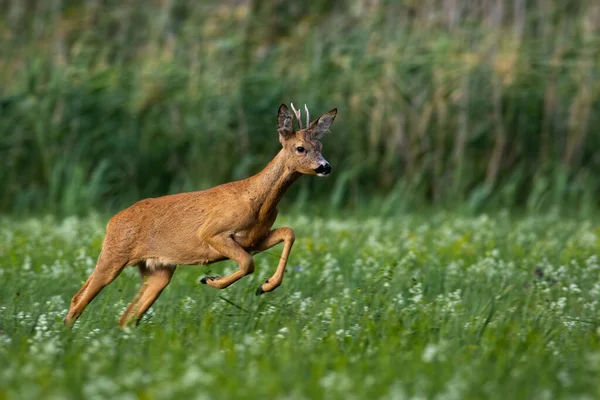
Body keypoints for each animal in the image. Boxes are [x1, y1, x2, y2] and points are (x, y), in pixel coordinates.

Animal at [65, 103, 338, 328]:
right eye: (300, 148)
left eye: (321, 146)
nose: (325, 167)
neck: (258, 201)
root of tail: (112, 221)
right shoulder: (213, 232)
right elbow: (247, 263)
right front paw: (211, 280)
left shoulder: (254, 239)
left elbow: (288, 232)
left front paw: (265, 286)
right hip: (114, 254)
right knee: (79, 298)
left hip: (158, 271)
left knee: (127, 316)